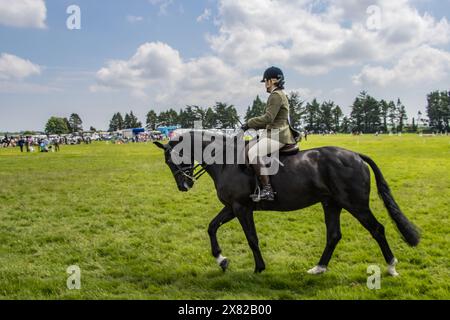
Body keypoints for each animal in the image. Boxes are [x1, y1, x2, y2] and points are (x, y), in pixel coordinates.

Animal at [153, 129, 420, 276]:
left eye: (173, 158)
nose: (184, 185)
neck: (226, 160)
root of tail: (355, 155)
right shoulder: (232, 207)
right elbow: (211, 227)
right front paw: (222, 259)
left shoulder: (241, 208)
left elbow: (251, 238)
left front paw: (259, 267)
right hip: (331, 204)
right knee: (334, 235)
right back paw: (319, 268)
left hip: (355, 205)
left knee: (377, 229)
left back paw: (391, 267)